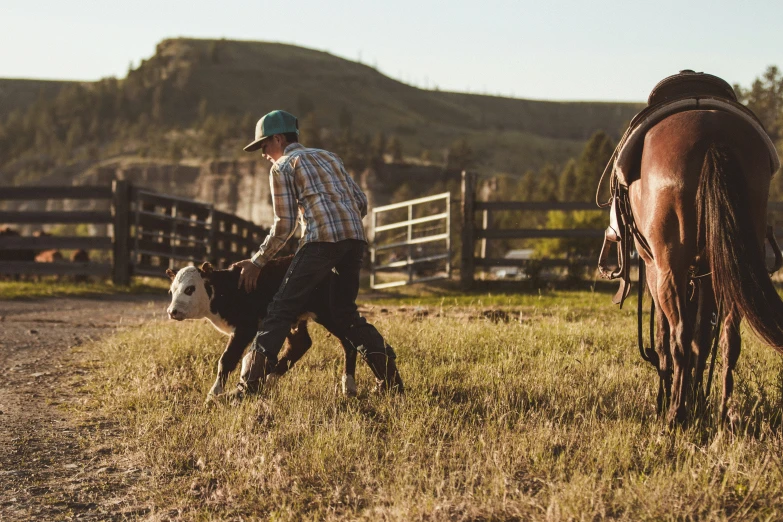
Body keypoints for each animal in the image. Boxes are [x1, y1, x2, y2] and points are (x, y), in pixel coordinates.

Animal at [168, 256, 362, 402]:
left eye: (190, 289)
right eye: (172, 291)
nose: (172, 311)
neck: (229, 289)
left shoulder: (245, 328)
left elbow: (227, 359)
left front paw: (213, 394)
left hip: (329, 312)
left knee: (348, 342)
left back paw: (349, 386)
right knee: (300, 344)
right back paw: (267, 380)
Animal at [632, 109, 783, 422]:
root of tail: (712, 135)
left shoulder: (654, 269)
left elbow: (665, 336)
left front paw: (668, 399)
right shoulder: (705, 275)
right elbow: (702, 339)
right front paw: (696, 399)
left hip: (671, 267)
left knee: (680, 335)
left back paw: (676, 413)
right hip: (731, 264)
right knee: (728, 338)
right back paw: (723, 410)